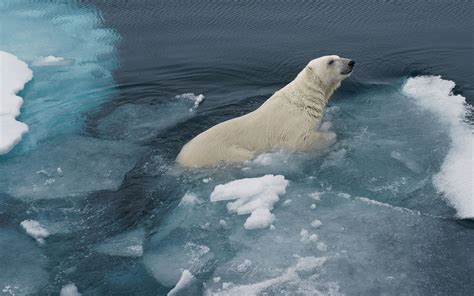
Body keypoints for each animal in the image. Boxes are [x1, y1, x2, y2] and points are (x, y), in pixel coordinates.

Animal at [176, 55, 354, 166]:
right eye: (331, 61)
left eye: (339, 56)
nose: (351, 62)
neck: (303, 99)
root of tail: (179, 160)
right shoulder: (292, 125)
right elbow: (300, 140)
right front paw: (331, 137)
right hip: (224, 152)